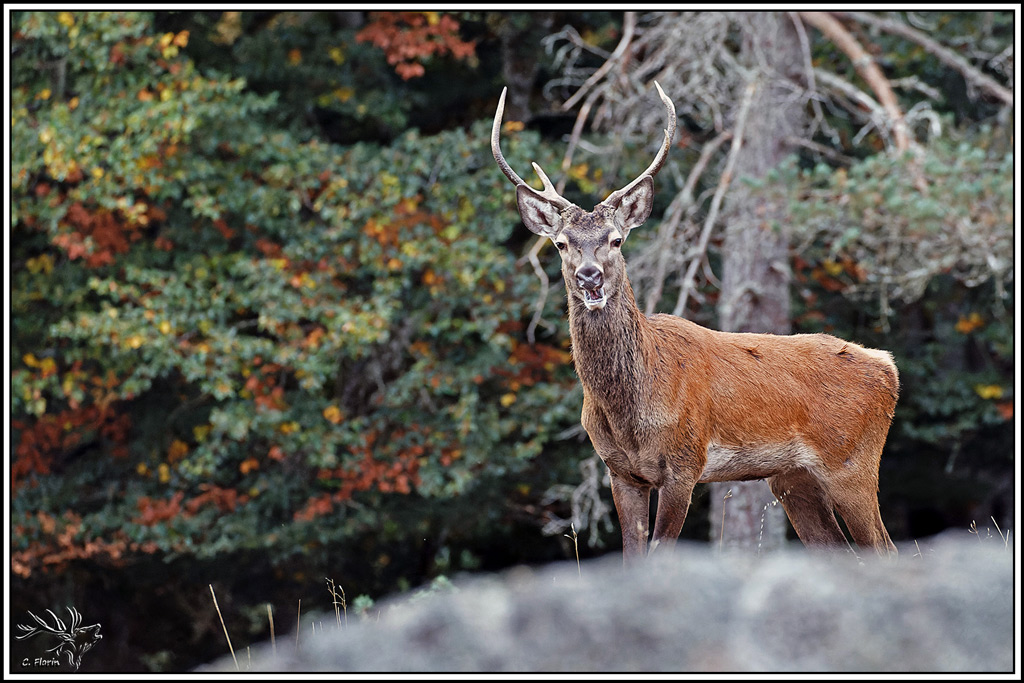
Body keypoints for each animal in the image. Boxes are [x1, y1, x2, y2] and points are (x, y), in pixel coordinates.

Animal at [492, 83, 899, 560]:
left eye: (616, 239)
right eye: (560, 243)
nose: (589, 275)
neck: (633, 408)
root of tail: (889, 367)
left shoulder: (684, 463)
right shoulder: (620, 472)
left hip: (852, 462)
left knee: (886, 548)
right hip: (793, 478)